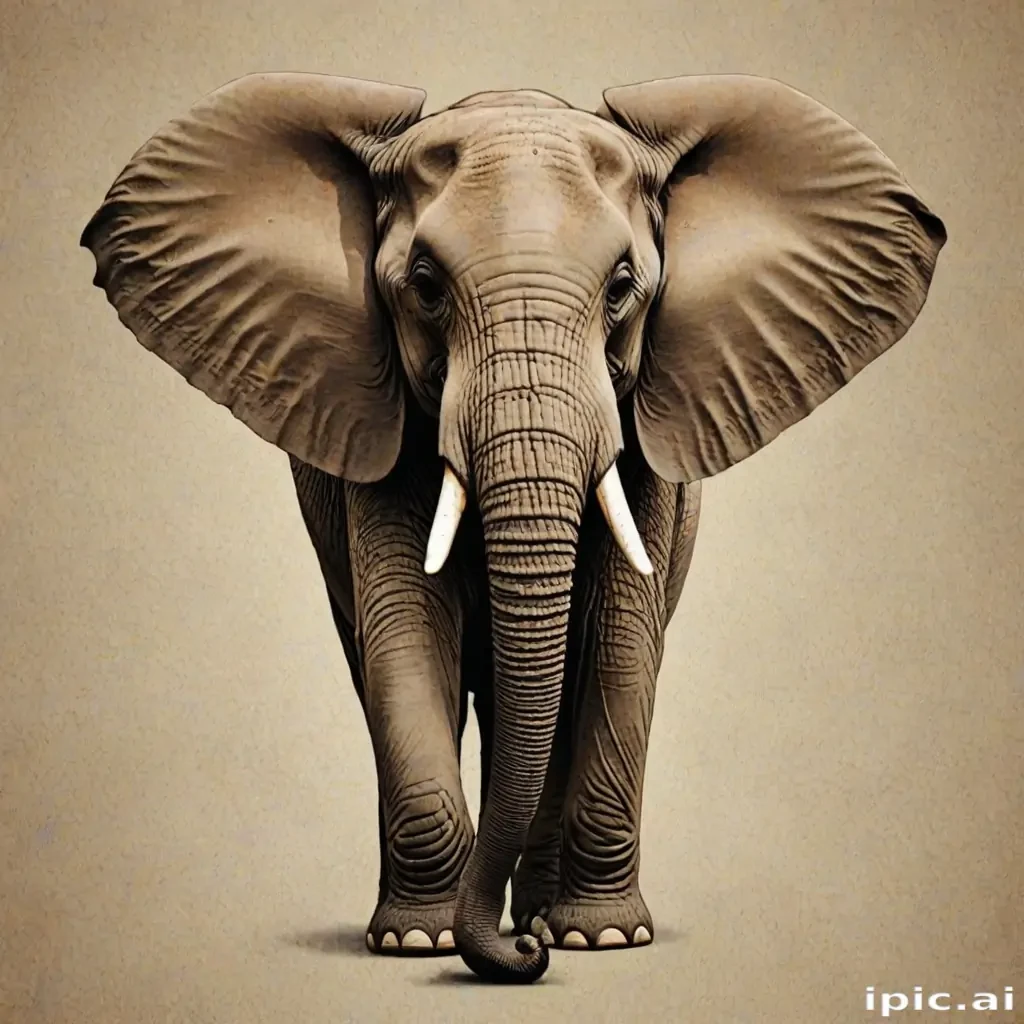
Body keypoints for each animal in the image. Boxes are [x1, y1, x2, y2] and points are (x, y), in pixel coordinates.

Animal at [80, 70, 946, 985]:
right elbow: (406, 631)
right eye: (425, 284)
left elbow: (617, 641)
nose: (517, 958)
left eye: (622, 286)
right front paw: (417, 942)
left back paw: (544, 918)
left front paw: (602, 939)